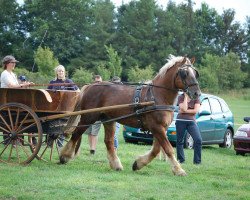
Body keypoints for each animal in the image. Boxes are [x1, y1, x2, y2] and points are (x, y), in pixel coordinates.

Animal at [60, 55, 201, 176]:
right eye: (184, 73)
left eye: (195, 73)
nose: (197, 93)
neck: (157, 95)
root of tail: (90, 86)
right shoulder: (157, 127)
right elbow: (168, 149)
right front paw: (179, 170)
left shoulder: (161, 128)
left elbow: (156, 150)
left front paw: (138, 164)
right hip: (89, 117)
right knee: (76, 134)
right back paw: (64, 156)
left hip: (108, 120)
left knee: (108, 141)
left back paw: (116, 164)